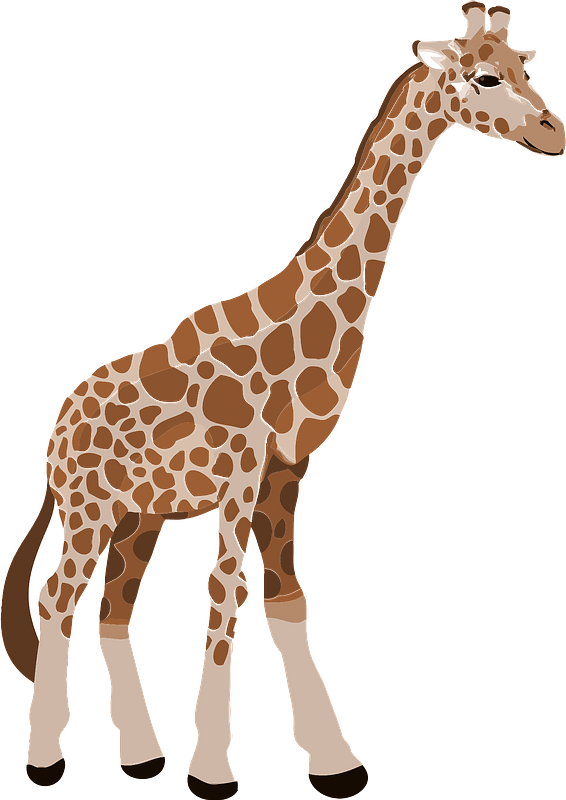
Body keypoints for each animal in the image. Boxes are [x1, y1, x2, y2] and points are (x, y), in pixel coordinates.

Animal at [1, 3, 564, 798]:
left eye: (524, 69)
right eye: (485, 77)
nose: (555, 133)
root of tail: (53, 431)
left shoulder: (287, 472)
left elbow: (285, 601)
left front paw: (336, 765)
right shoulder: (240, 473)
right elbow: (226, 596)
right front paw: (213, 772)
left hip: (140, 515)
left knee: (112, 610)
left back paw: (141, 758)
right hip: (88, 509)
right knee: (57, 601)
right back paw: (45, 760)